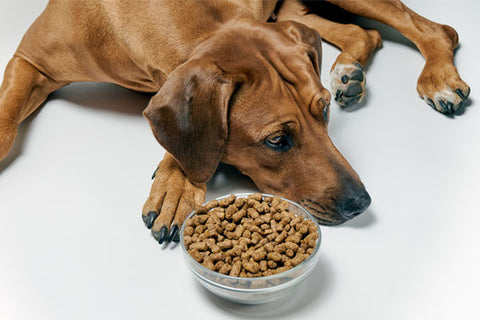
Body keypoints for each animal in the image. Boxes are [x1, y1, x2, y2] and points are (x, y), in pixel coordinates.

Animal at [0, 0, 468, 245]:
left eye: (323, 112)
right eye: (277, 140)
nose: (361, 202)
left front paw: (176, 182)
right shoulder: (30, 59)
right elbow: (6, 117)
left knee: (435, 28)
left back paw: (439, 78)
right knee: (362, 31)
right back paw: (348, 70)